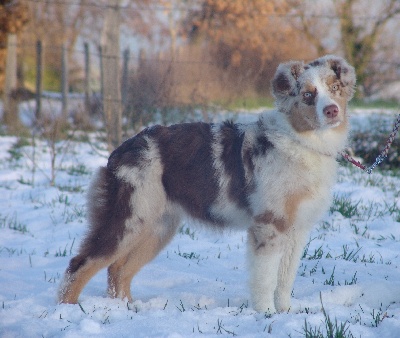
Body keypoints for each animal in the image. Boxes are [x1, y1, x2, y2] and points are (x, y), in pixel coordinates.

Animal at [58, 54, 356, 312]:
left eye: (335, 88)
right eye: (307, 95)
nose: (332, 111)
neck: (302, 141)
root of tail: (119, 151)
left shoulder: (296, 229)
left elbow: (285, 279)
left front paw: (285, 312)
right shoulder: (269, 225)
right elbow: (266, 278)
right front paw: (266, 314)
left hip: (157, 226)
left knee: (118, 269)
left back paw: (129, 309)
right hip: (128, 217)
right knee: (80, 263)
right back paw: (69, 310)